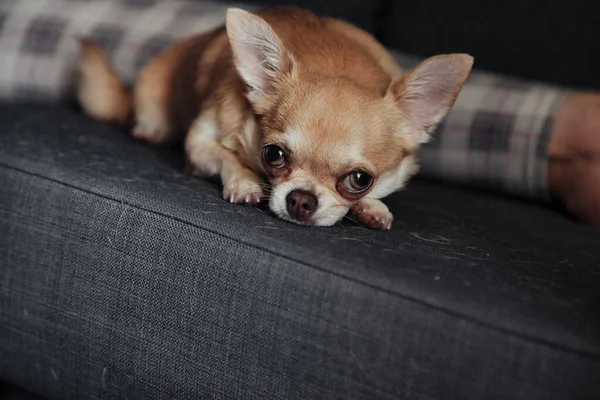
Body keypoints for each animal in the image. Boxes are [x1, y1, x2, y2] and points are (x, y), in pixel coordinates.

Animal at [78, 6, 474, 230]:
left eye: (360, 179)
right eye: (274, 155)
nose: (301, 200)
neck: (336, 62)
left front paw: (372, 206)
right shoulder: (199, 142)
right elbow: (225, 155)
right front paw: (245, 181)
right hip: (151, 91)